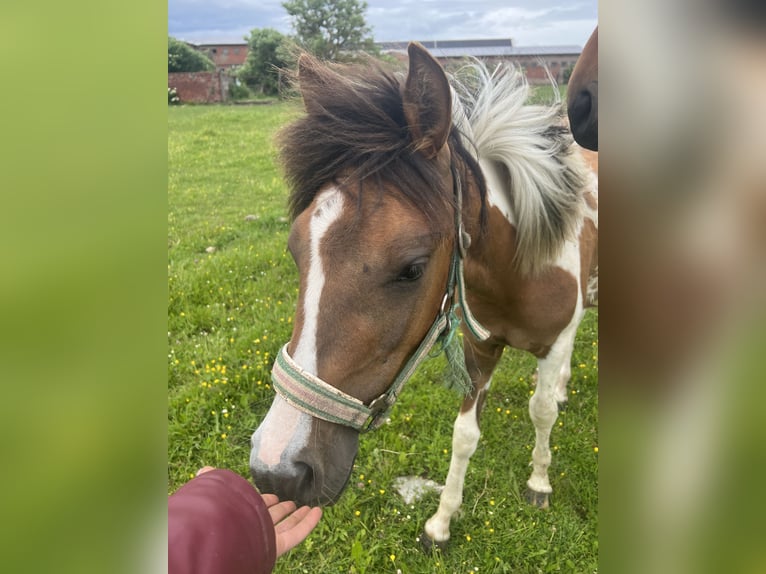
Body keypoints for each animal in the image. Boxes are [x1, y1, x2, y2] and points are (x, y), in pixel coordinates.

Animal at [249, 42, 598, 549]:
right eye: (296, 249)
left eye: (412, 268)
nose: (277, 470)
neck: (521, 266)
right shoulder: (479, 349)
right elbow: (465, 434)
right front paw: (442, 521)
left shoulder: (551, 345)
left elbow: (541, 411)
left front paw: (539, 482)